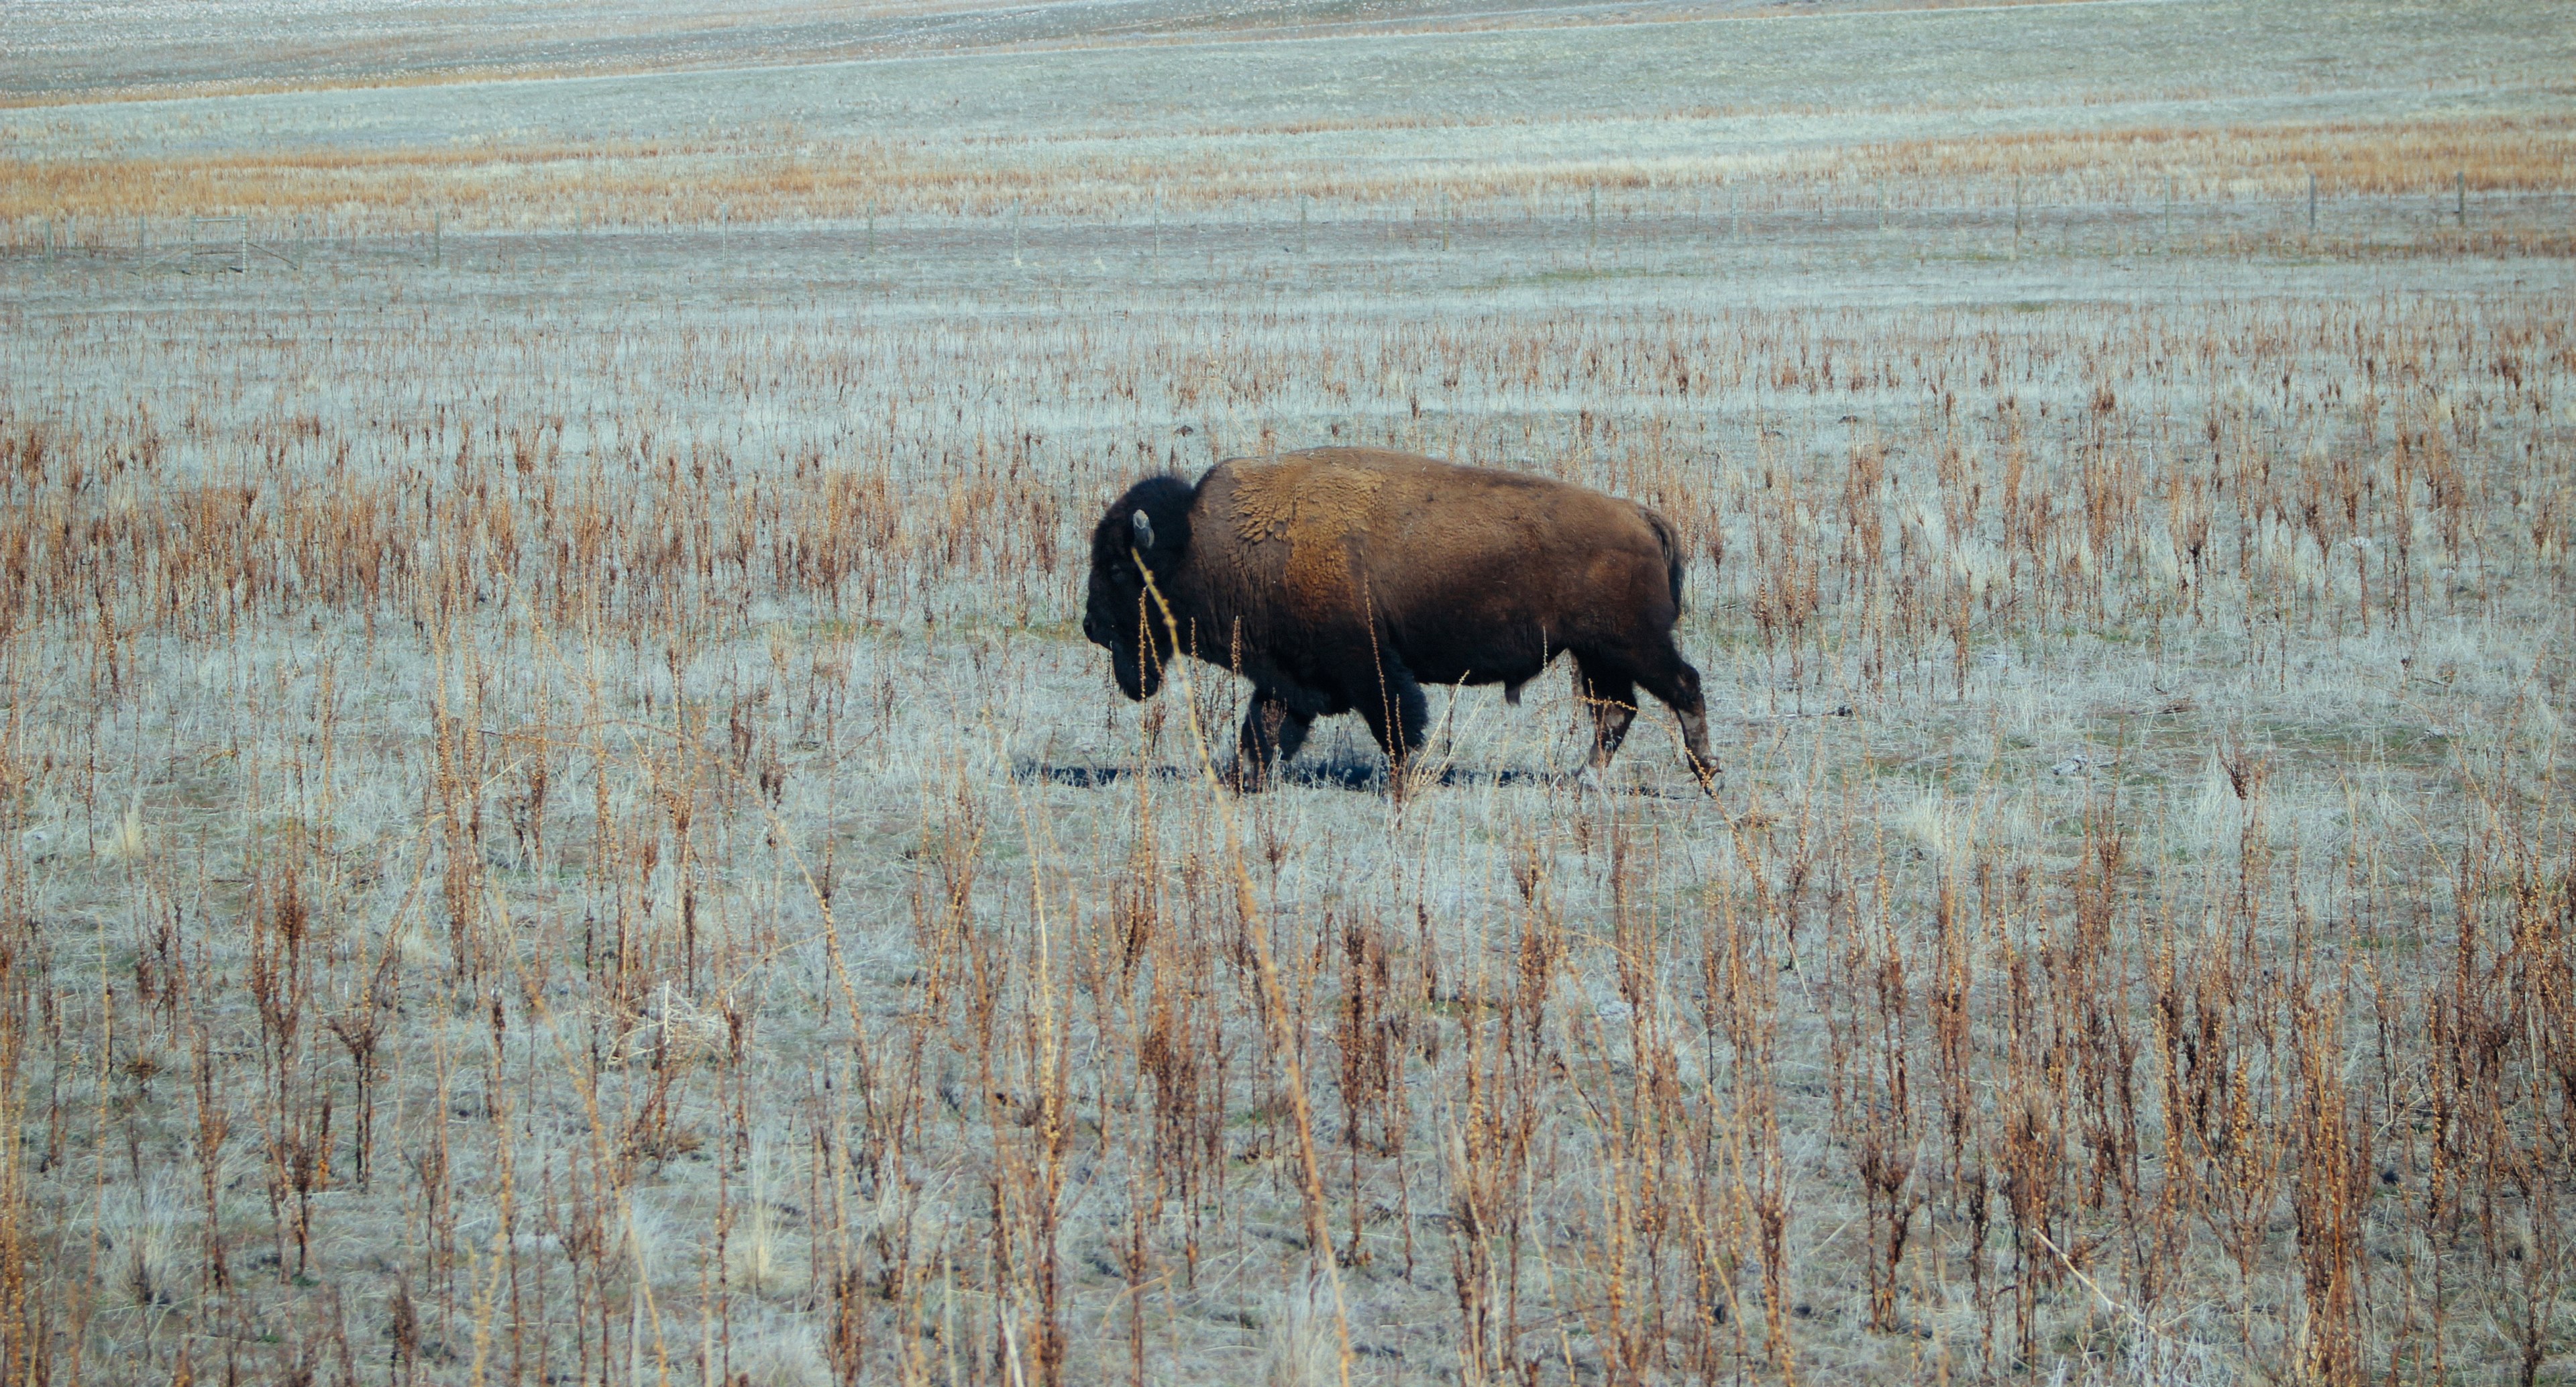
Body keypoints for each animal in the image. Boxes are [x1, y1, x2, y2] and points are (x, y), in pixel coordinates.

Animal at [1082, 447, 1717, 791]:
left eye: (1117, 568)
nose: (1090, 625)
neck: (1202, 542)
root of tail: (1641, 515)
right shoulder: (1287, 671)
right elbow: (1262, 727)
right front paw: (1246, 779)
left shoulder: (1366, 663)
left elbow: (1395, 722)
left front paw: (1404, 780)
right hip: (1597, 654)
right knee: (1616, 710)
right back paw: (1584, 779)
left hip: (1631, 645)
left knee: (1682, 687)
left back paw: (1708, 772)